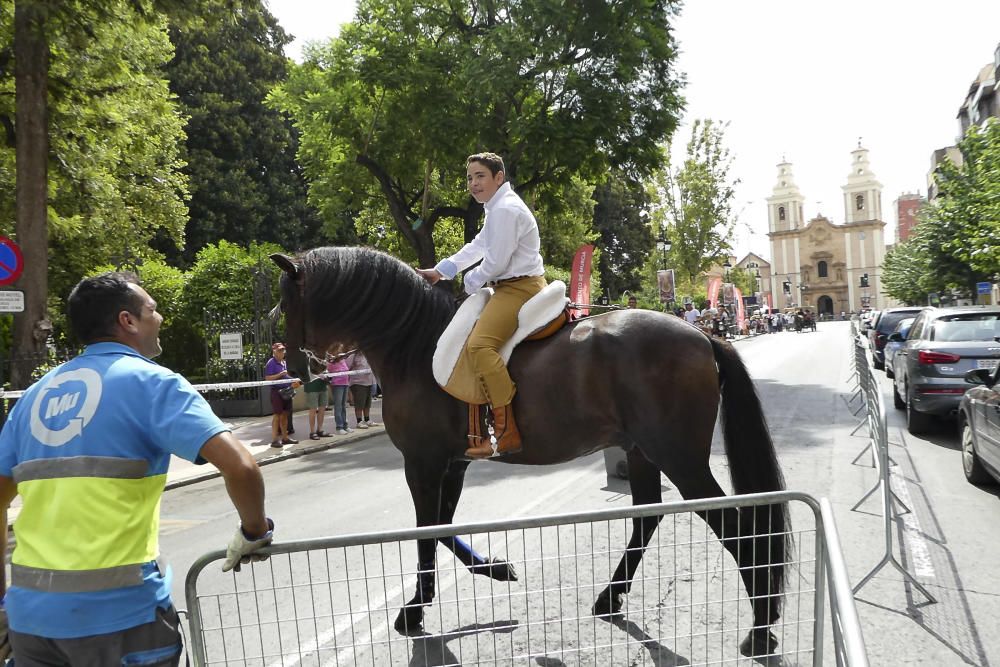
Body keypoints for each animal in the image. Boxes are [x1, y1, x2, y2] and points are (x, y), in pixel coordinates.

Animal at [272, 247, 788, 656]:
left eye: (287, 303)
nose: (297, 368)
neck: (414, 345)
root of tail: (702, 334)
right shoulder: (452, 463)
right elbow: (443, 528)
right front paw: (493, 569)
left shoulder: (422, 462)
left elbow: (426, 533)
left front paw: (414, 610)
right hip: (642, 450)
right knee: (647, 516)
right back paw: (610, 596)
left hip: (678, 456)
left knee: (735, 526)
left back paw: (761, 625)